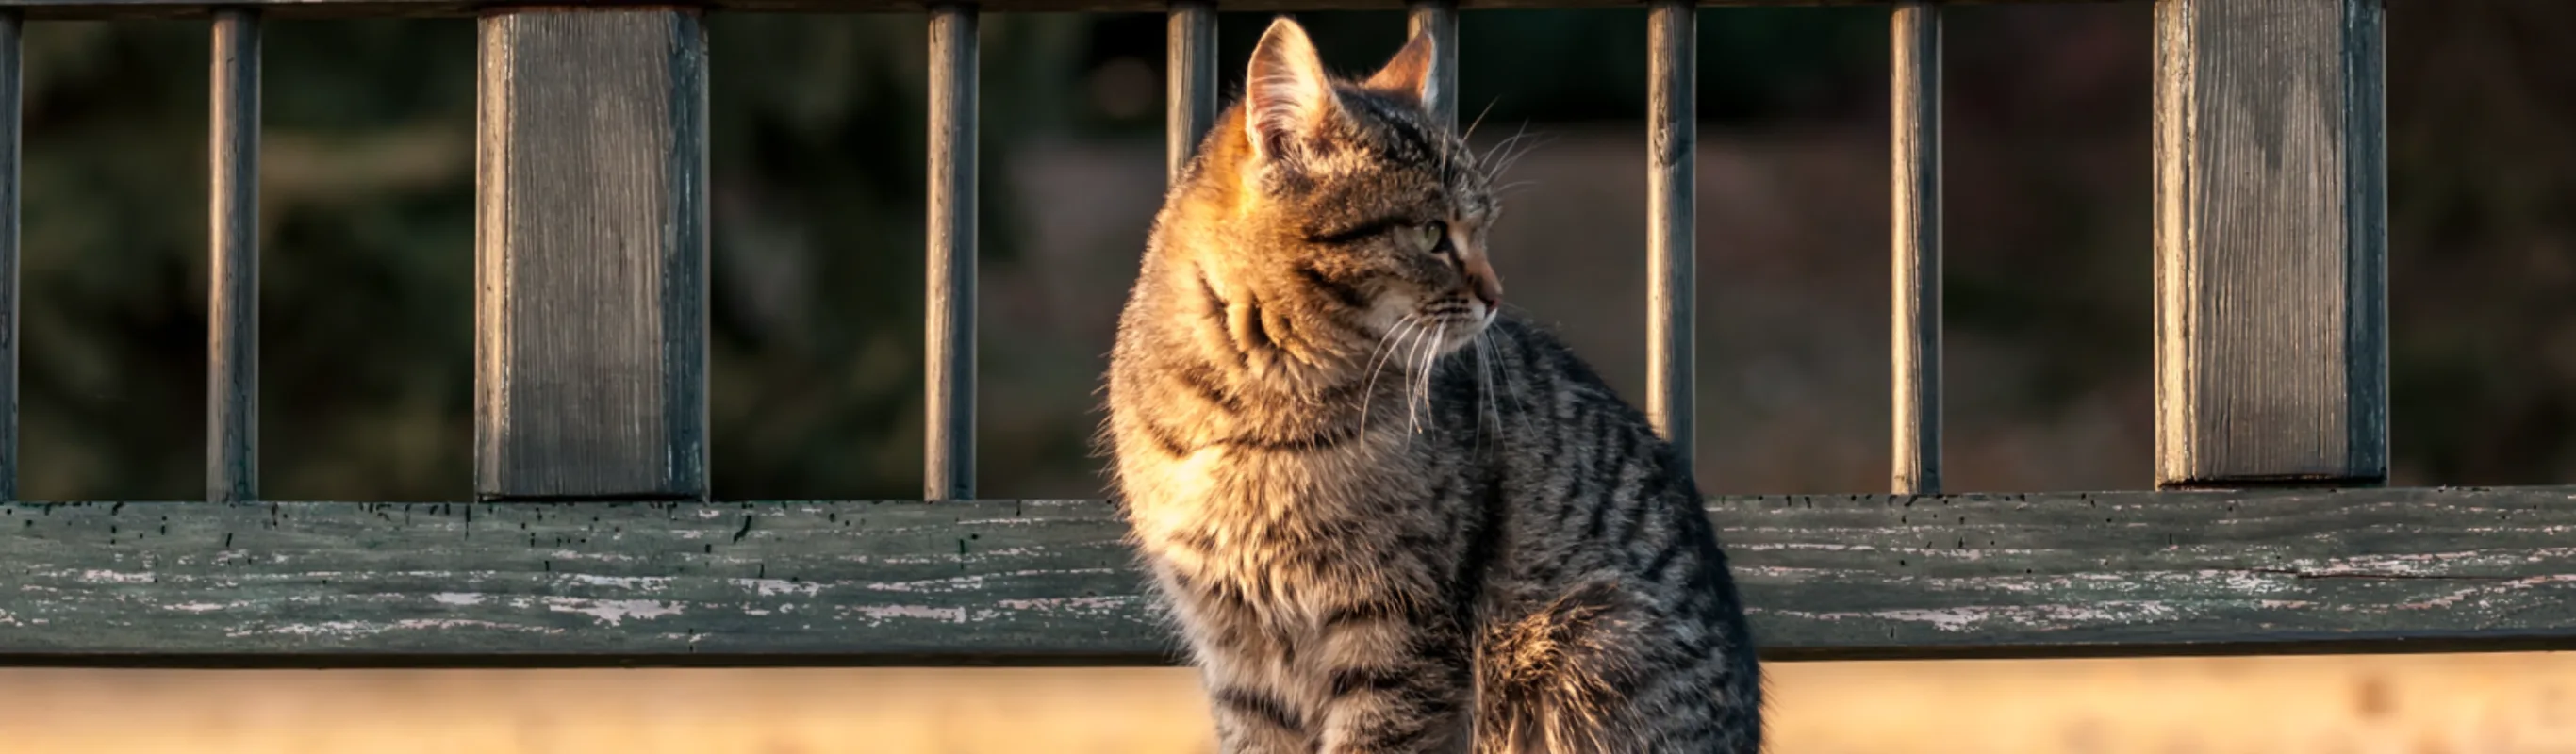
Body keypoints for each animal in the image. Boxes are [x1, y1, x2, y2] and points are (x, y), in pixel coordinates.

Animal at [1097, 17, 1761, 751]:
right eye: (1431, 232)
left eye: (1482, 227)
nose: (1497, 296)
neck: (1251, 403)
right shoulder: (1235, 648)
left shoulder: (1398, 627)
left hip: (1582, 646)